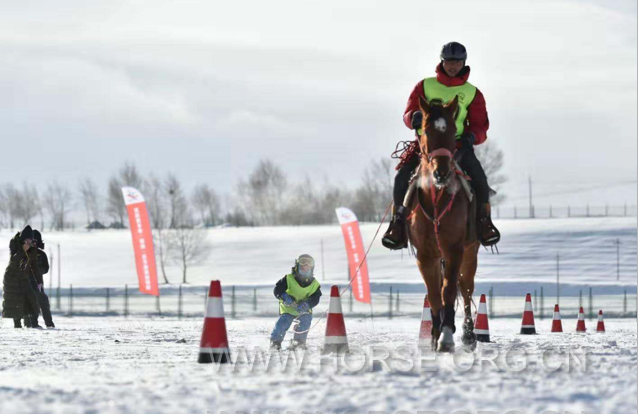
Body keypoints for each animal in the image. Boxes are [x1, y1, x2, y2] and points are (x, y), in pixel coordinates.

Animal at [410, 96, 480, 352]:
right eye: (426, 130)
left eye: (452, 131)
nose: (441, 173)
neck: (437, 199)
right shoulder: (425, 255)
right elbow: (434, 295)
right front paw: (434, 334)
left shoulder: (454, 250)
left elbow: (449, 291)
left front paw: (447, 336)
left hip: (470, 254)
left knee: (466, 289)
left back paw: (469, 335)